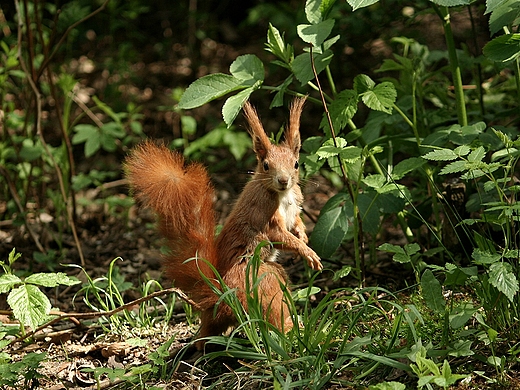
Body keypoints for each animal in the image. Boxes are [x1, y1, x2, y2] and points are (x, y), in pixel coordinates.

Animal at [125, 98, 320, 350]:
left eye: (296, 164)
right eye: (266, 165)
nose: (284, 180)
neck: (282, 194)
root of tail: (221, 293)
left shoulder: (296, 205)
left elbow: (296, 223)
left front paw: (304, 238)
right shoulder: (265, 216)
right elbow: (280, 235)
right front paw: (307, 252)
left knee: (210, 327)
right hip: (261, 280)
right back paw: (290, 330)